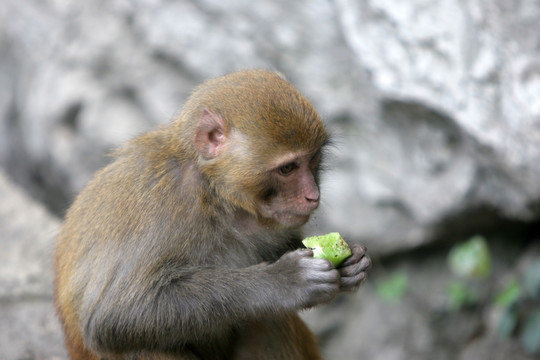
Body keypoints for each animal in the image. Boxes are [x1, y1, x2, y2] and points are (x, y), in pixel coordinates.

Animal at [56, 69, 372, 358]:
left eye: (313, 158)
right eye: (287, 168)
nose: (312, 196)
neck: (215, 195)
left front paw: (351, 261)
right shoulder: (160, 212)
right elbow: (115, 314)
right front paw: (283, 282)